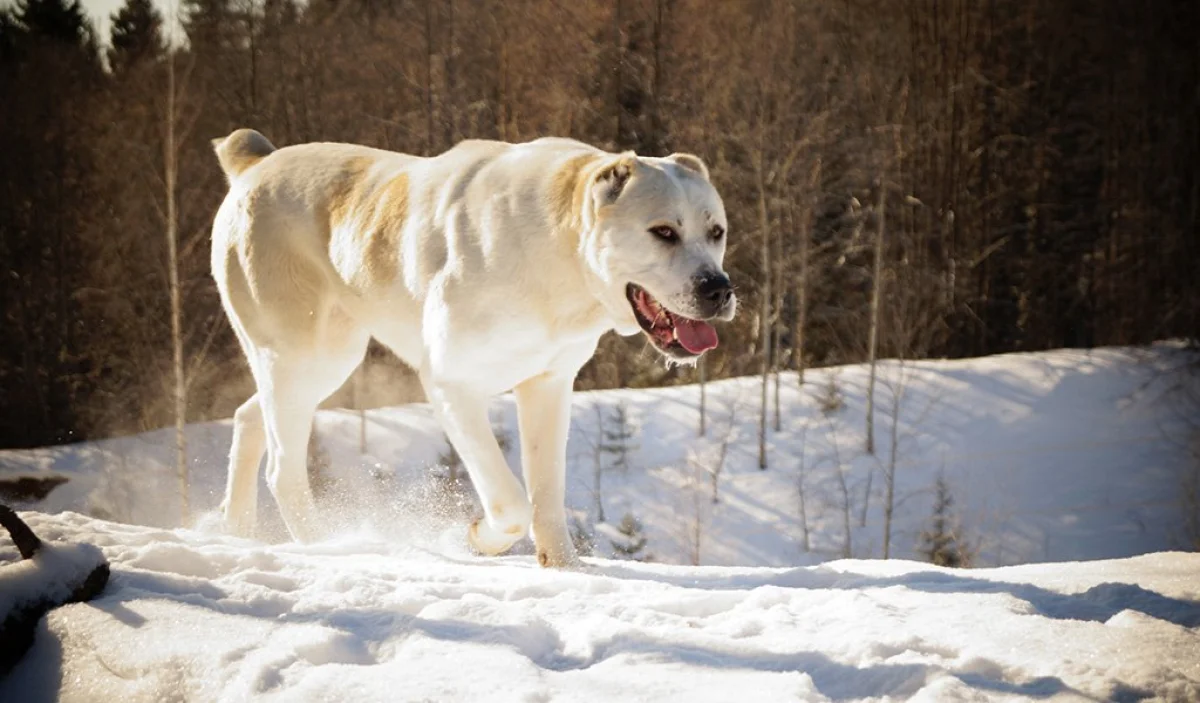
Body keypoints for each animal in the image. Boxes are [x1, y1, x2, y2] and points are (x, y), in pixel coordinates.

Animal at [208, 128, 729, 566]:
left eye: (716, 232)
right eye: (663, 232)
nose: (718, 288)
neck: (560, 256)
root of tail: (256, 163)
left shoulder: (548, 384)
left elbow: (546, 492)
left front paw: (564, 568)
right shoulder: (451, 384)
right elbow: (511, 501)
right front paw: (478, 537)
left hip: (319, 362)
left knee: (248, 419)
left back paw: (237, 530)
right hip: (303, 356)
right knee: (282, 468)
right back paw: (327, 546)